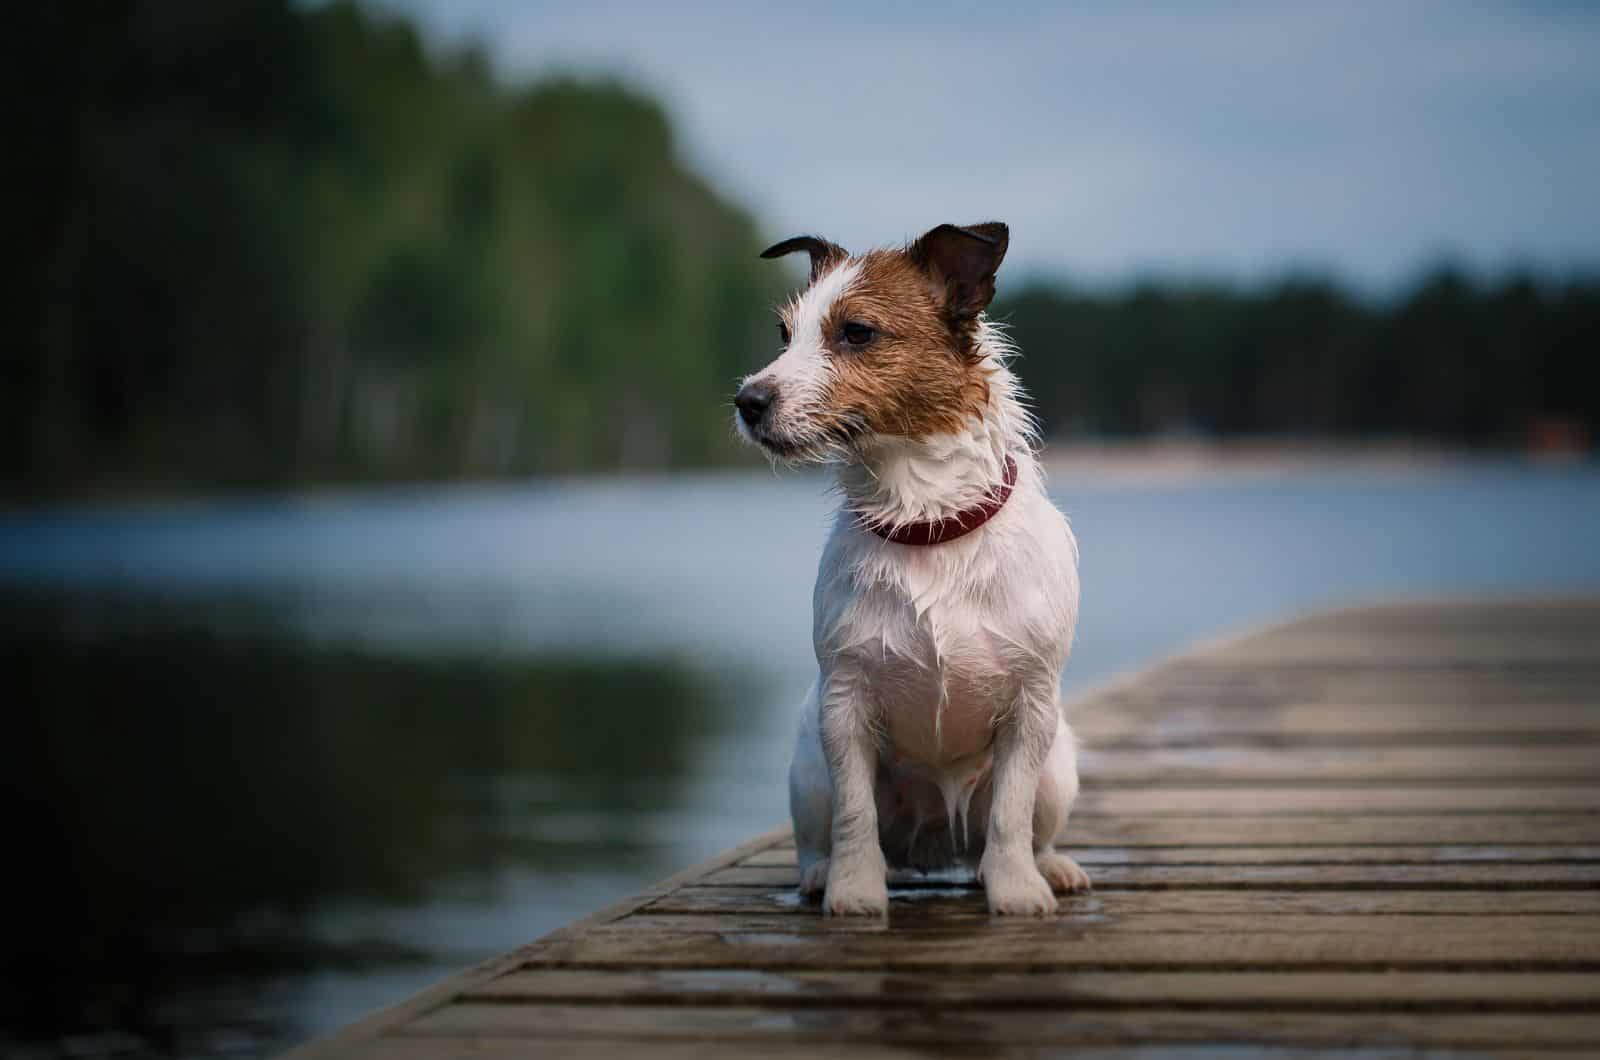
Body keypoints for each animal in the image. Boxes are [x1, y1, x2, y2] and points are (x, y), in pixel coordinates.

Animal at [732, 222, 1088, 915]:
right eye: (784, 334)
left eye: (857, 332)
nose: (747, 401)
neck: (928, 522)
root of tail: (936, 850)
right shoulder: (843, 706)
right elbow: (855, 816)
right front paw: (853, 890)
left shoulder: (1032, 708)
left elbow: (1010, 814)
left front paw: (1016, 890)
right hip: (807, 768)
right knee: (819, 834)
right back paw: (821, 873)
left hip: (1059, 766)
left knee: (1025, 826)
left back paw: (1049, 865)